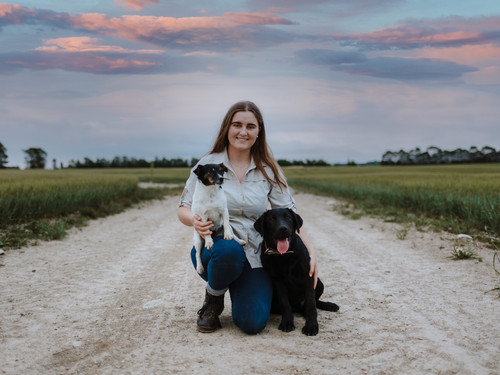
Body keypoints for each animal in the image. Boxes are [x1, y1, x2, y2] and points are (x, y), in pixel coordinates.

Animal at [254, 209, 340, 338]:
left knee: (315, 302)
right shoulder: (278, 281)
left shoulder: (308, 277)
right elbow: (285, 303)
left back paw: (329, 305)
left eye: (288, 218)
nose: (283, 228)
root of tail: (298, 306)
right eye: (271, 219)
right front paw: (287, 322)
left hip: (319, 283)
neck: (284, 256)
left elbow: (311, 304)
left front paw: (311, 326)